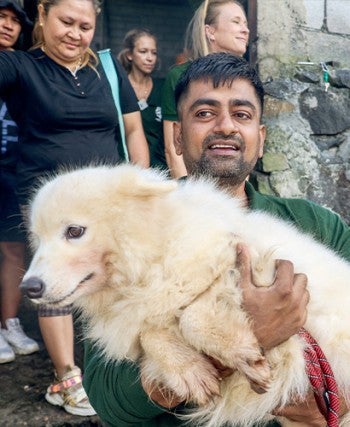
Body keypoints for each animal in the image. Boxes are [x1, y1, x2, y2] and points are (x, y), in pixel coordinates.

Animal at [21, 165, 350, 427]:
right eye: (37, 240)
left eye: (74, 231)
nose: (29, 288)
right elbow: (151, 335)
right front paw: (189, 372)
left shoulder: (248, 265)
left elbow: (192, 315)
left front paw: (240, 352)